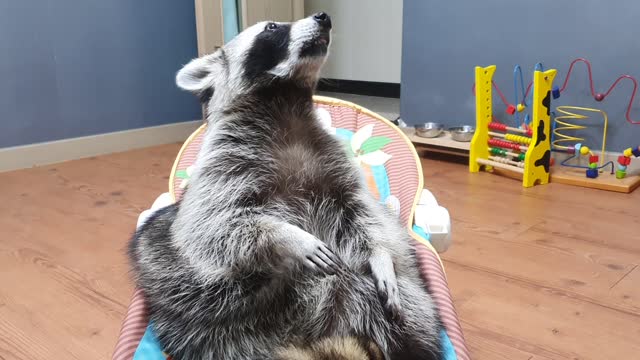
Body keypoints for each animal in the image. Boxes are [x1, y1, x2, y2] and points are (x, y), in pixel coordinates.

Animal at [127, 11, 442, 360]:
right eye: (272, 27)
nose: (324, 16)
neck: (285, 100)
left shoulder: (333, 162)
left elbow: (364, 215)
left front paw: (380, 255)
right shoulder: (222, 166)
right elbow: (211, 224)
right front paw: (288, 237)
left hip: (392, 300)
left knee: (407, 313)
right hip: (187, 298)